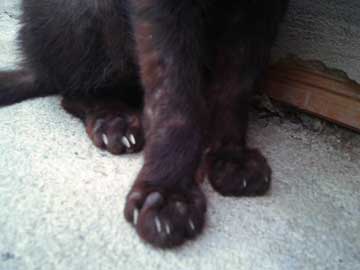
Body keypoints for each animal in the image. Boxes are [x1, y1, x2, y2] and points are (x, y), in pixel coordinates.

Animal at [0, 0, 288, 249]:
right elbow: (173, 96)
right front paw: (169, 191)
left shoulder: (260, 9)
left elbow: (234, 86)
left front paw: (231, 155)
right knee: (72, 92)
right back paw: (114, 120)